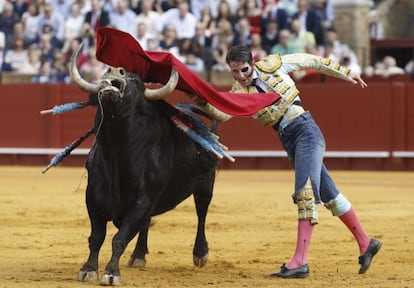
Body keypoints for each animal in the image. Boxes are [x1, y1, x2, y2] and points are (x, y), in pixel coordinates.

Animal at [77, 66, 220, 284]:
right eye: (104, 73)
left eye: (135, 80)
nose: (115, 70)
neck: (116, 152)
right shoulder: (93, 199)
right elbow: (96, 237)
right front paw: (88, 269)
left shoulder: (141, 203)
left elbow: (119, 239)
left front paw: (111, 273)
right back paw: (138, 255)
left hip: (205, 184)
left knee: (201, 213)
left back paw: (200, 253)